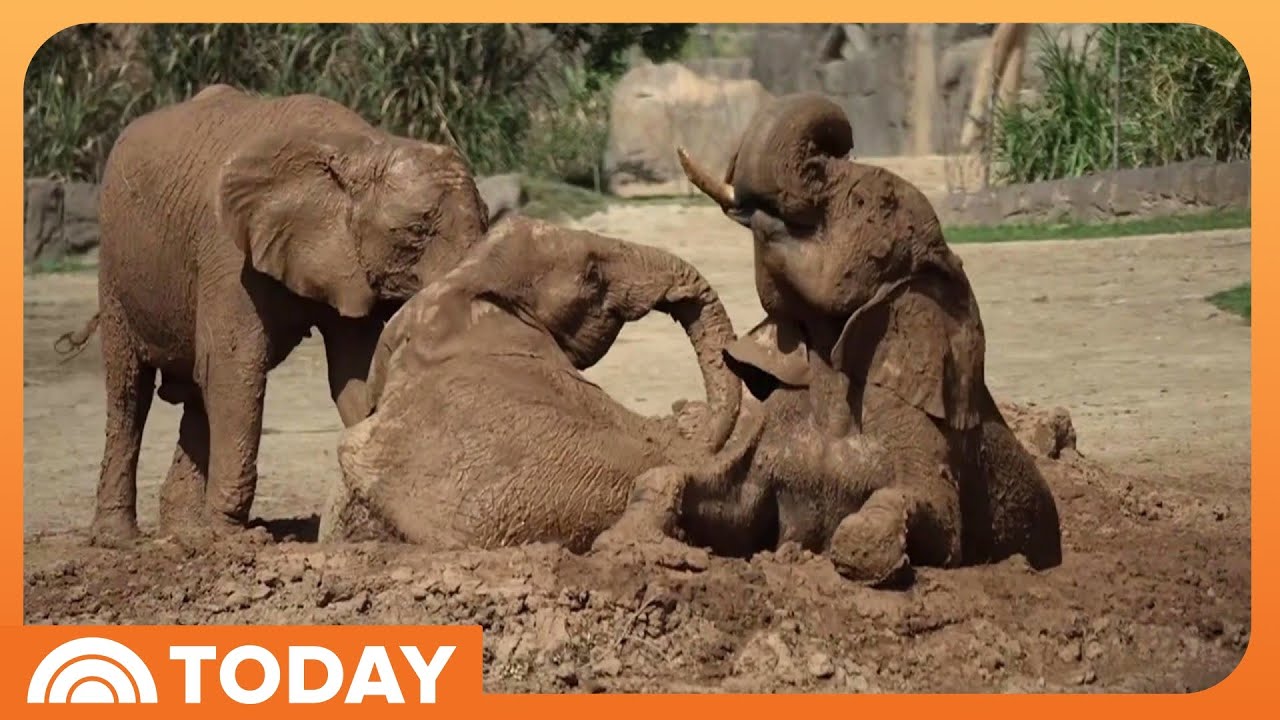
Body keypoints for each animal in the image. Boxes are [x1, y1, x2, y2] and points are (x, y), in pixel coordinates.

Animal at [57, 84, 490, 545]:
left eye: (487, 220)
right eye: (416, 232)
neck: (360, 147)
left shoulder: (346, 262)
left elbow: (355, 370)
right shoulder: (227, 253)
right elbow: (235, 365)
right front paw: (235, 541)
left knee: (195, 394)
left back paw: (184, 534)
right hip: (115, 266)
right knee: (130, 392)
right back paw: (119, 538)